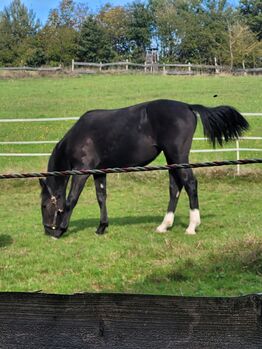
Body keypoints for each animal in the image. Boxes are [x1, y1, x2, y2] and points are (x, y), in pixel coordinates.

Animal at [39, 99, 248, 238]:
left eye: (44, 205)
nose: (48, 230)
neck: (79, 136)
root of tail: (188, 106)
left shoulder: (82, 171)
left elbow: (71, 200)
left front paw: (62, 230)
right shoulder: (99, 172)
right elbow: (101, 198)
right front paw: (101, 227)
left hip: (178, 156)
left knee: (190, 183)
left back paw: (191, 226)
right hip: (172, 158)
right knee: (175, 187)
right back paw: (164, 225)